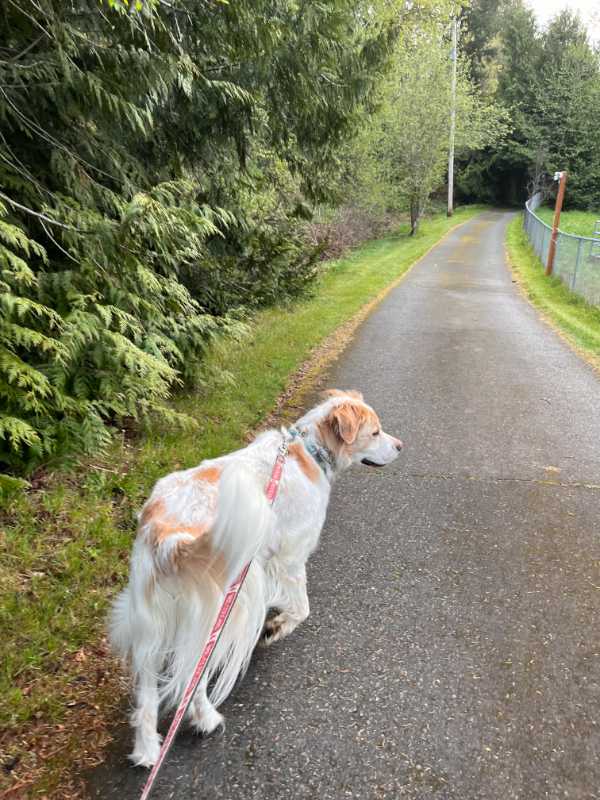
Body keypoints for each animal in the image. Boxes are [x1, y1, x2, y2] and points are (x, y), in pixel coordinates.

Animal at [111, 390, 404, 764]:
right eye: (375, 433)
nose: (400, 446)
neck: (309, 450)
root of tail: (168, 533)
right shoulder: (290, 558)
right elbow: (302, 609)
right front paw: (274, 629)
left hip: (151, 623)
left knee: (147, 693)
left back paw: (148, 750)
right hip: (217, 616)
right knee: (191, 677)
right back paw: (205, 718)